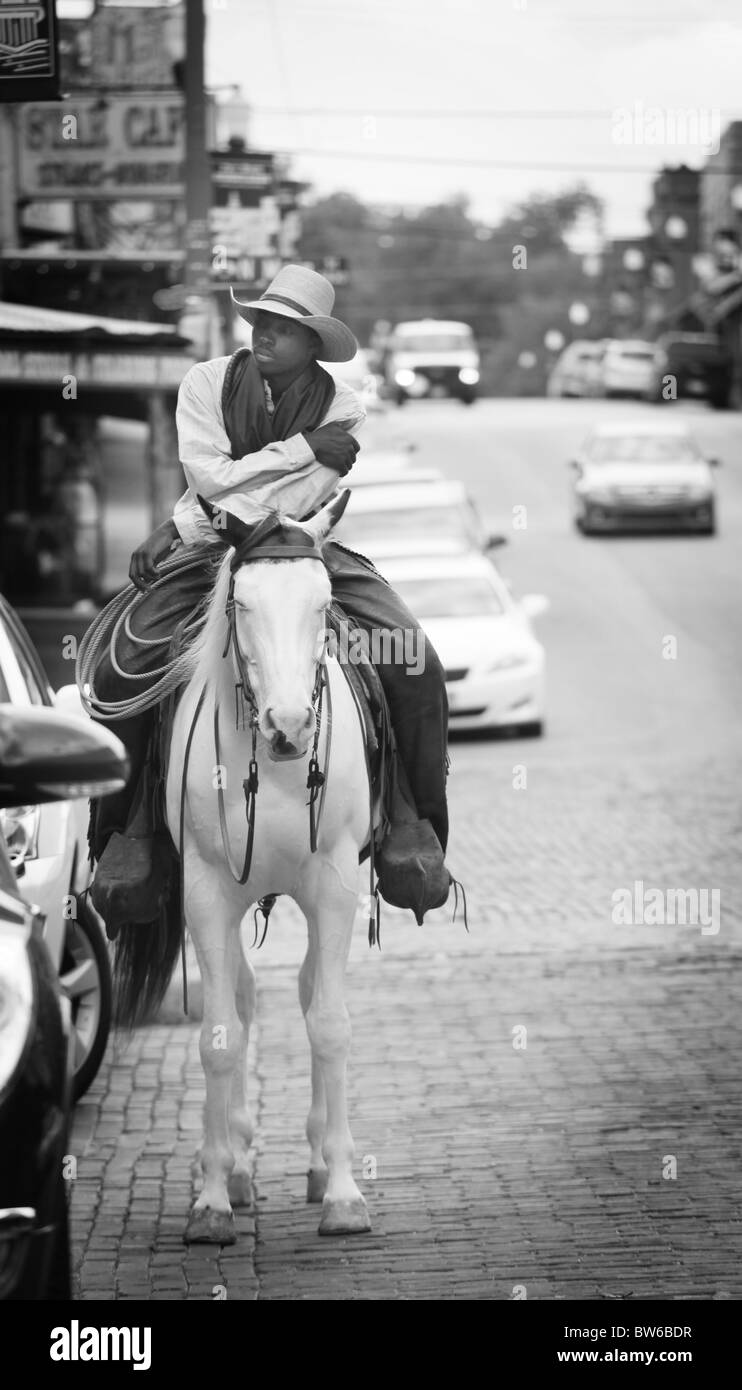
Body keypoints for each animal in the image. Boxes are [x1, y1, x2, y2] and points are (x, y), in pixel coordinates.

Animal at [165, 494, 372, 1245]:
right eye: (243, 603)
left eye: (324, 602)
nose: (290, 726)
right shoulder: (205, 893)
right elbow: (220, 1037)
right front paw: (211, 1200)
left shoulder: (335, 886)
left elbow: (331, 1024)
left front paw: (343, 1193)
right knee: (247, 998)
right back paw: (233, 1165)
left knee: (311, 991)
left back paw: (314, 1163)